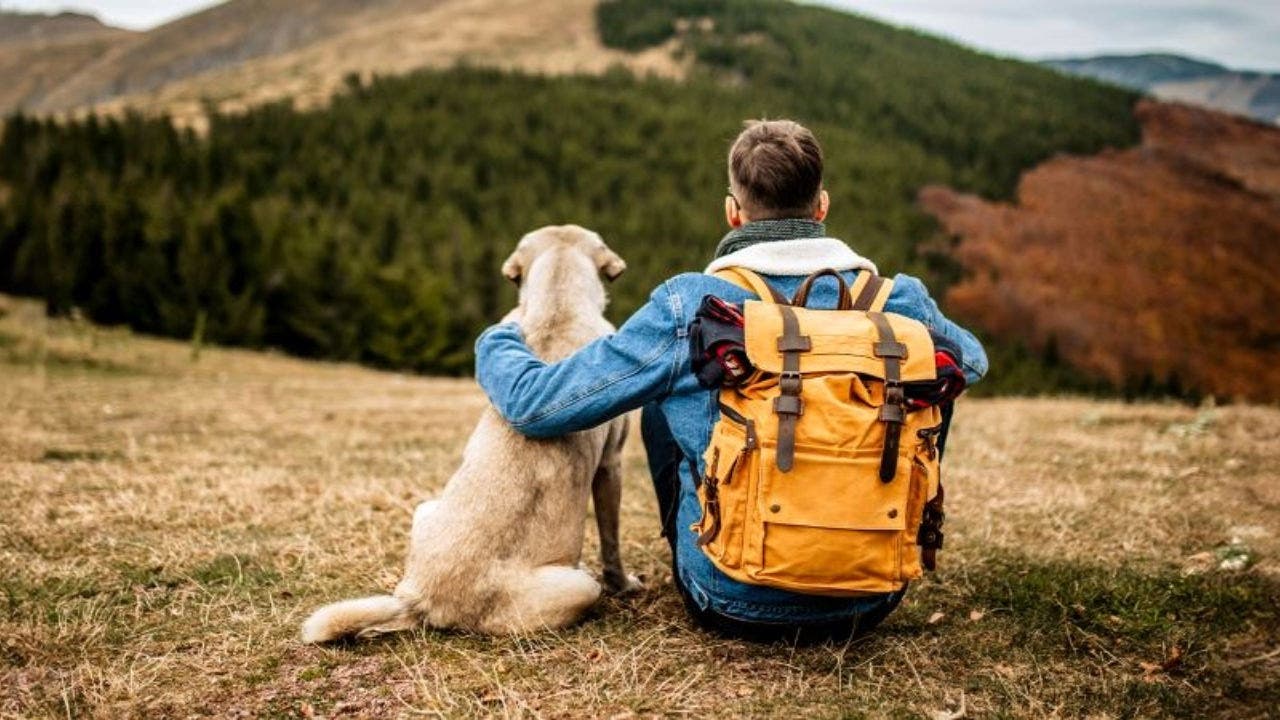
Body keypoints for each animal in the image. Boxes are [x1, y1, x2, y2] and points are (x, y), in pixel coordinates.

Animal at [300, 224, 640, 638]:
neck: (556, 303)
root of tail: (423, 599)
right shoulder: (611, 464)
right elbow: (611, 540)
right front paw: (624, 584)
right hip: (580, 586)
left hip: (425, 509)